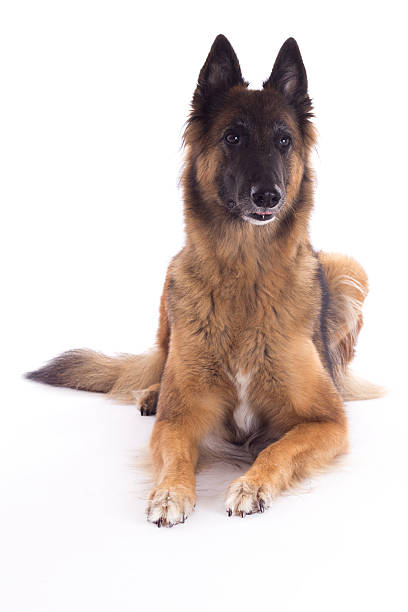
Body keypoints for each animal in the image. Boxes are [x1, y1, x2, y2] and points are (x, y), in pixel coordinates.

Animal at [26, 35, 382, 528]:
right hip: (169, 288)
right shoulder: (180, 418)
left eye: (284, 141)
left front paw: (252, 484)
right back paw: (153, 391)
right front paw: (170, 492)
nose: (267, 196)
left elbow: (277, 450)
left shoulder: (327, 422)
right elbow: (175, 452)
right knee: (161, 360)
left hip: (346, 267)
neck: (245, 275)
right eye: (233, 137)